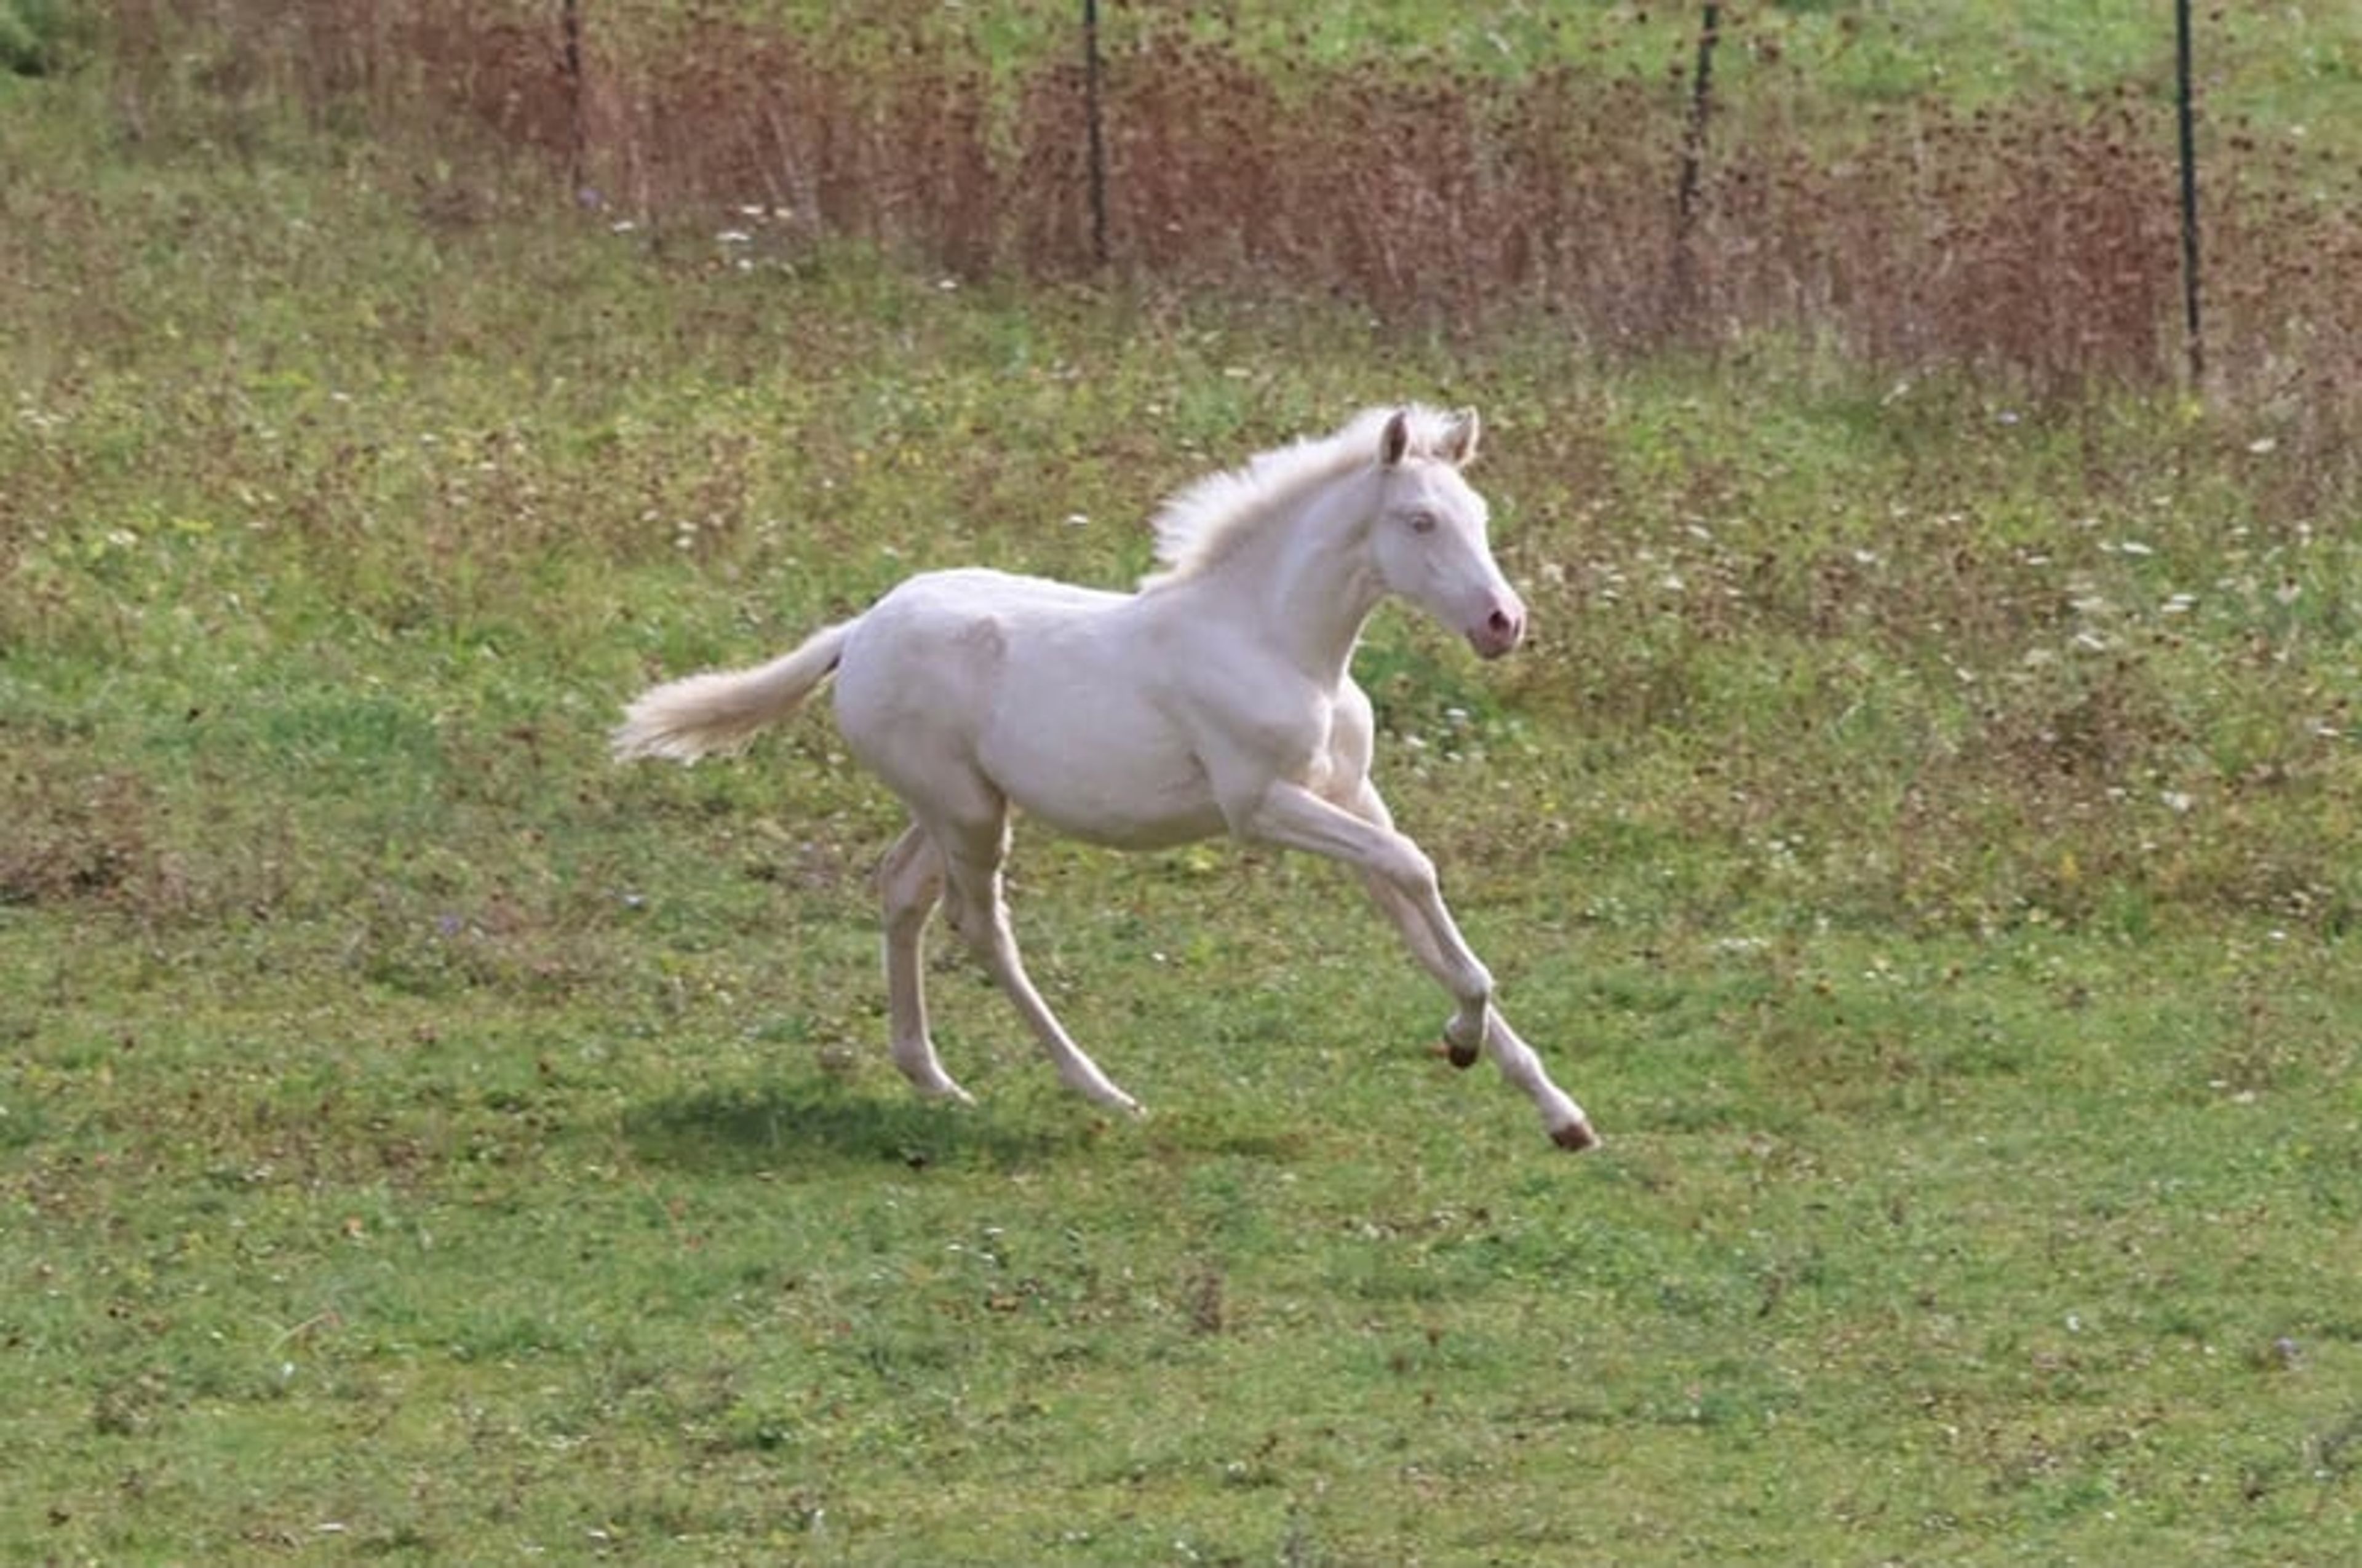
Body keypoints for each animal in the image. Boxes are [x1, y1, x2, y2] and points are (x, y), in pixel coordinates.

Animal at [612, 405, 1597, 1151]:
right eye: (1420, 521)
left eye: (1480, 515)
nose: (1504, 622)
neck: (1277, 643)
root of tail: (858, 630)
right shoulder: (1261, 805)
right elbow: (1417, 871)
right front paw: (1462, 1039)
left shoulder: (1350, 796)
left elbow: (1417, 911)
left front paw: (1557, 1111)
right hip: (967, 811)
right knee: (979, 923)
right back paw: (1100, 1089)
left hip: (957, 803)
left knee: (901, 891)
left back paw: (932, 1077)